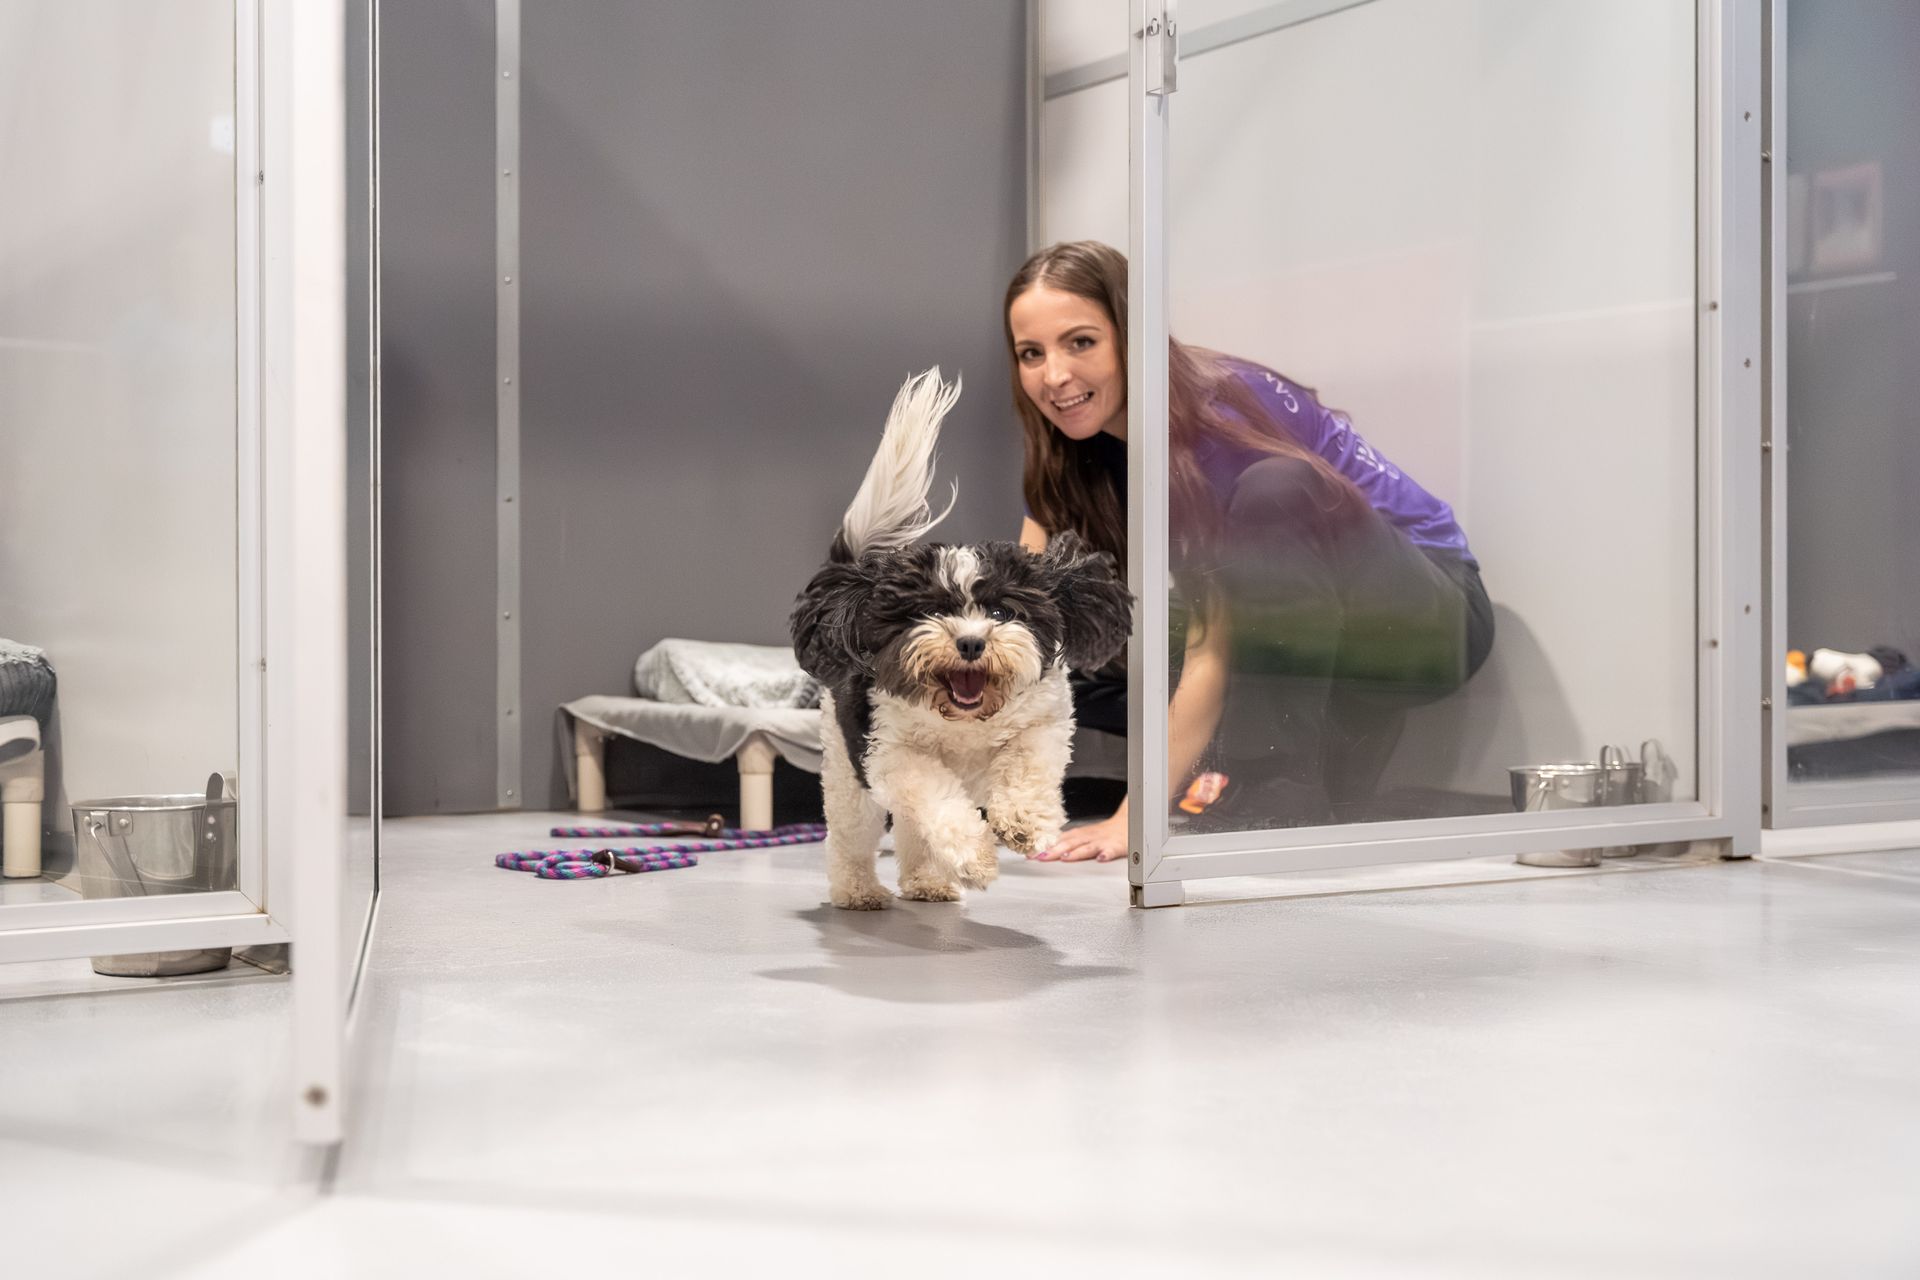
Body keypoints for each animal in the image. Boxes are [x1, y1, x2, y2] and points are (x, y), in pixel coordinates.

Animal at [787, 370, 1128, 909]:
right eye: (930, 611)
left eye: (1001, 611)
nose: (970, 643)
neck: (968, 721)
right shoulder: (893, 755)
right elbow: (938, 802)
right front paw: (975, 857)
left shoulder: (1044, 725)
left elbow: (1027, 768)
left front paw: (1022, 823)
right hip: (847, 774)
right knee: (855, 836)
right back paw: (859, 891)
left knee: (910, 831)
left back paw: (927, 881)